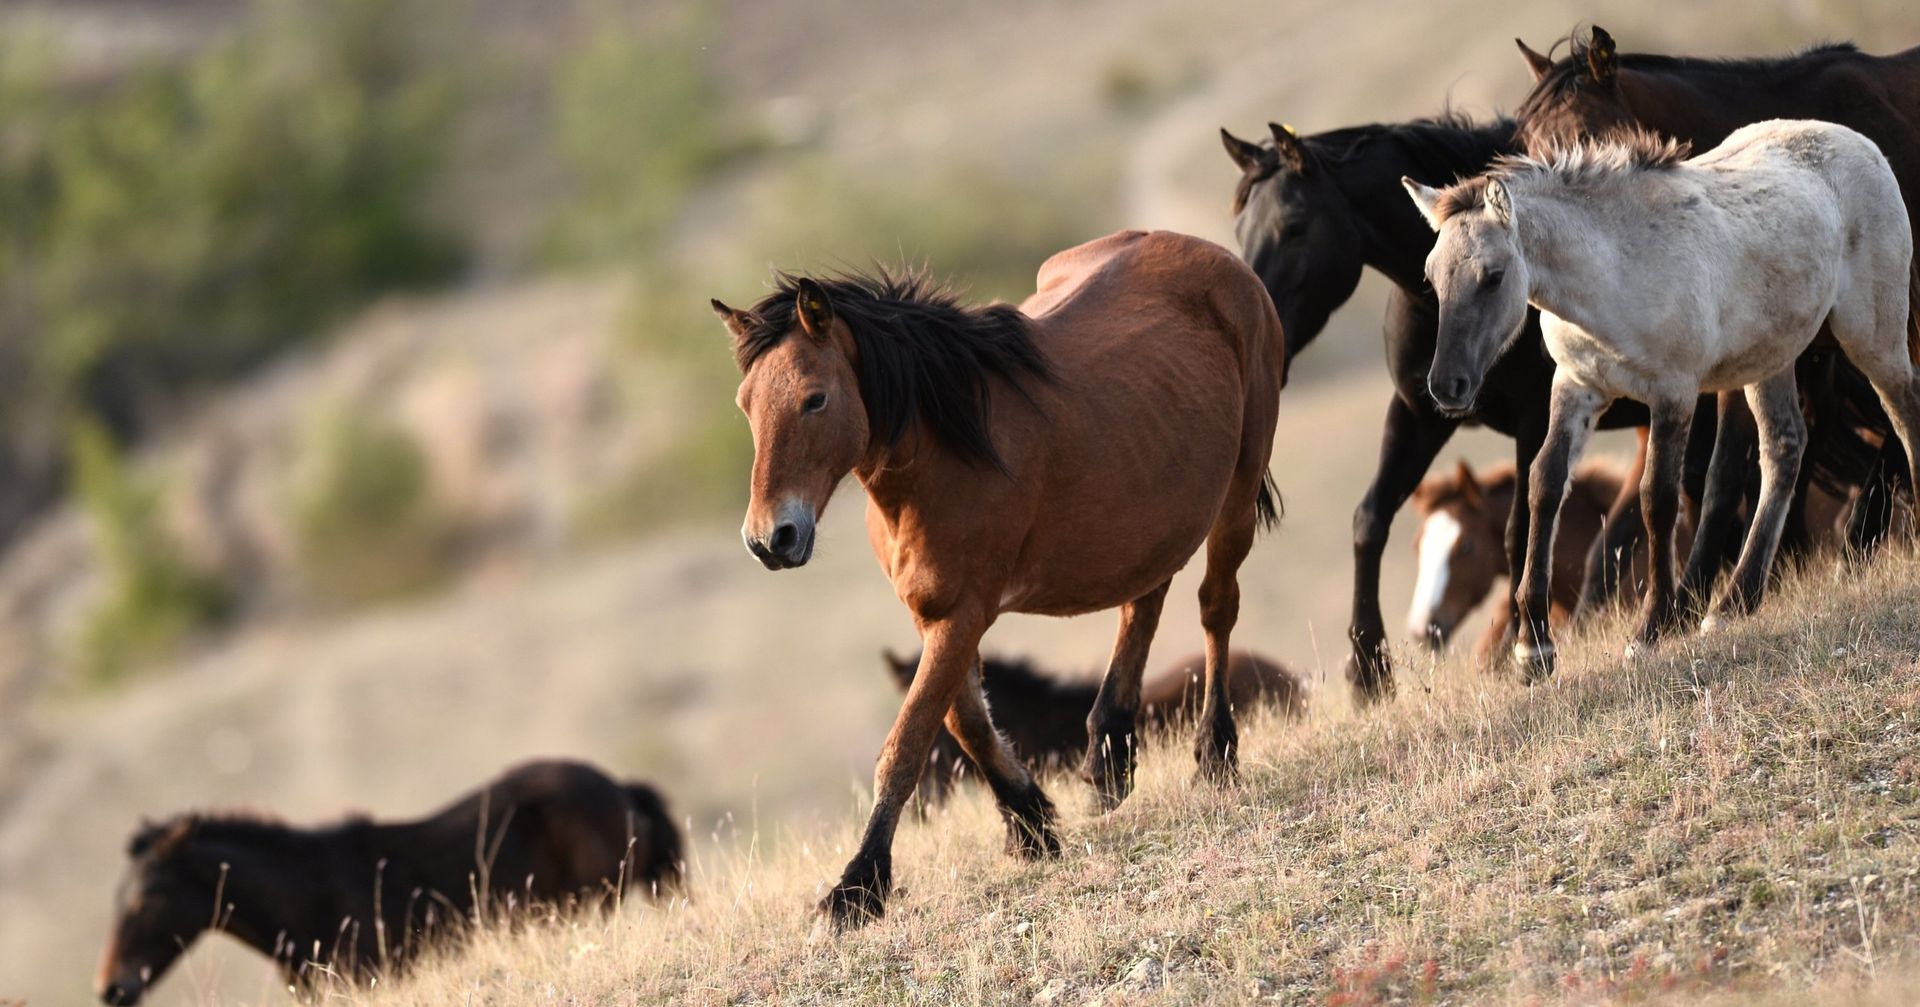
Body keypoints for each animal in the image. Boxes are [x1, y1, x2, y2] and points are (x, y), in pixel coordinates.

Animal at [1220, 117, 1723, 701]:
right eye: (1241, 232)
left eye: (1295, 226)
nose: (1256, 329)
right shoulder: (1421, 412)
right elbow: (1370, 519)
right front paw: (1368, 671)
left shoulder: (1536, 416)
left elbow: (1517, 528)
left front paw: (1522, 643)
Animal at [1404, 121, 1920, 675]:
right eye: (1431, 277)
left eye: (1493, 276)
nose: (1447, 386)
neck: (1615, 269)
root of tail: (1863, 145)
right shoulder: (1577, 387)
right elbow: (1545, 485)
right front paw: (1534, 648)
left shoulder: (1673, 394)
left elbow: (1659, 498)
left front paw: (1651, 630)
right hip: (1771, 358)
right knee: (1784, 446)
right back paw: (1733, 603)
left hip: (1871, 336)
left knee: (1903, 410)